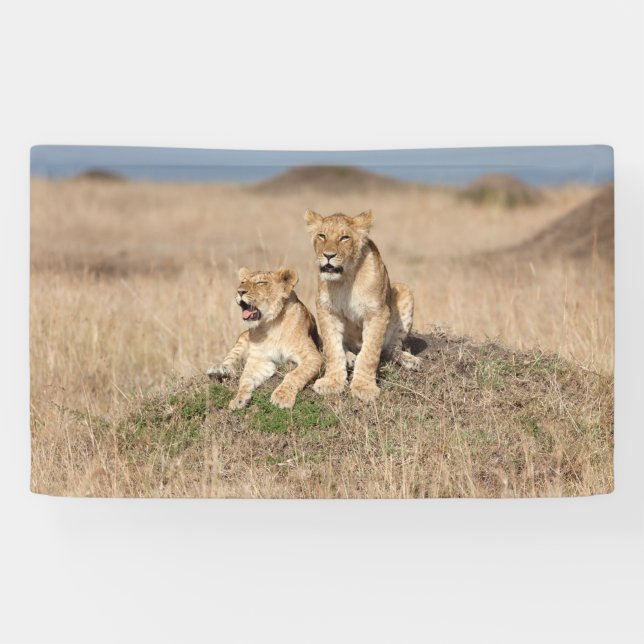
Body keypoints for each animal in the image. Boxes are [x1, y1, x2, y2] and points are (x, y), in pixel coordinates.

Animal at [207, 267, 323, 410]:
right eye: (243, 282)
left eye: (260, 283)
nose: (240, 291)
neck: (271, 324)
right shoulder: (260, 360)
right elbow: (245, 379)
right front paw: (238, 399)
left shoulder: (313, 356)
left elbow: (295, 374)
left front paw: (281, 397)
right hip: (242, 337)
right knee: (230, 359)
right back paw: (219, 370)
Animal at [304, 209, 420, 402]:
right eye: (322, 236)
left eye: (344, 238)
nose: (328, 255)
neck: (345, 278)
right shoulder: (327, 310)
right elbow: (332, 348)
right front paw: (332, 382)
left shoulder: (377, 313)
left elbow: (369, 353)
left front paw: (364, 387)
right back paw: (349, 357)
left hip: (404, 290)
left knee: (391, 348)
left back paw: (410, 360)